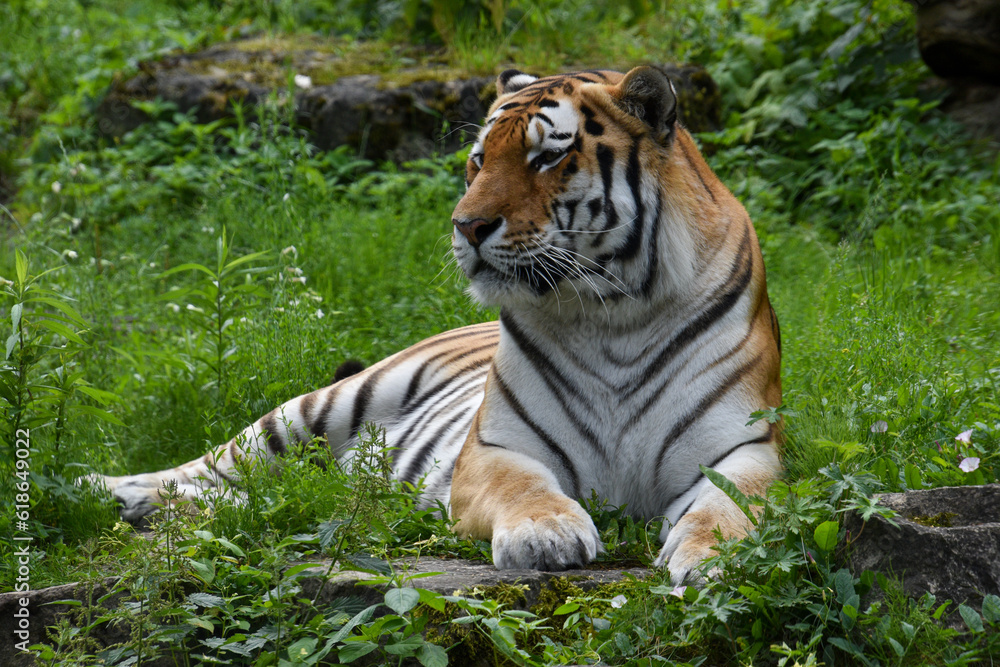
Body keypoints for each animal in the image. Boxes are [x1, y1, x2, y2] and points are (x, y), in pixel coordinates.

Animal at [91, 66, 783, 585]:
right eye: (478, 160)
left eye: (546, 158)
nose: (465, 226)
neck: (613, 310)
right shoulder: (497, 448)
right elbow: (524, 489)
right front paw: (547, 535)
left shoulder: (745, 447)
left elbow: (731, 506)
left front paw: (712, 559)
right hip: (321, 406)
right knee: (209, 466)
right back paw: (110, 490)